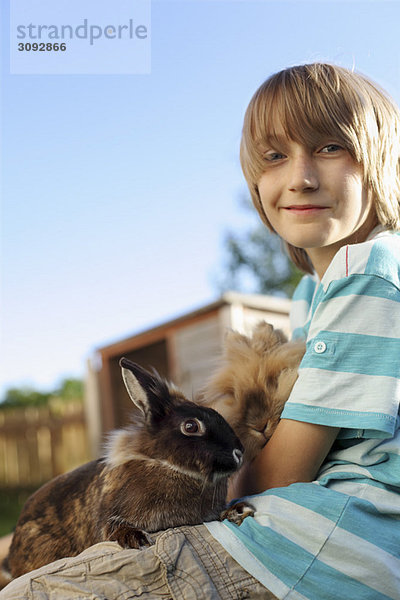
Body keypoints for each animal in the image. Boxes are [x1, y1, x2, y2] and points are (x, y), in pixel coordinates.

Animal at [2, 358, 244, 584]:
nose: (239, 452)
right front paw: (135, 538)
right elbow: (113, 527)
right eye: (191, 426)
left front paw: (236, 511)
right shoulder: (109, 516)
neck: (166, 464)